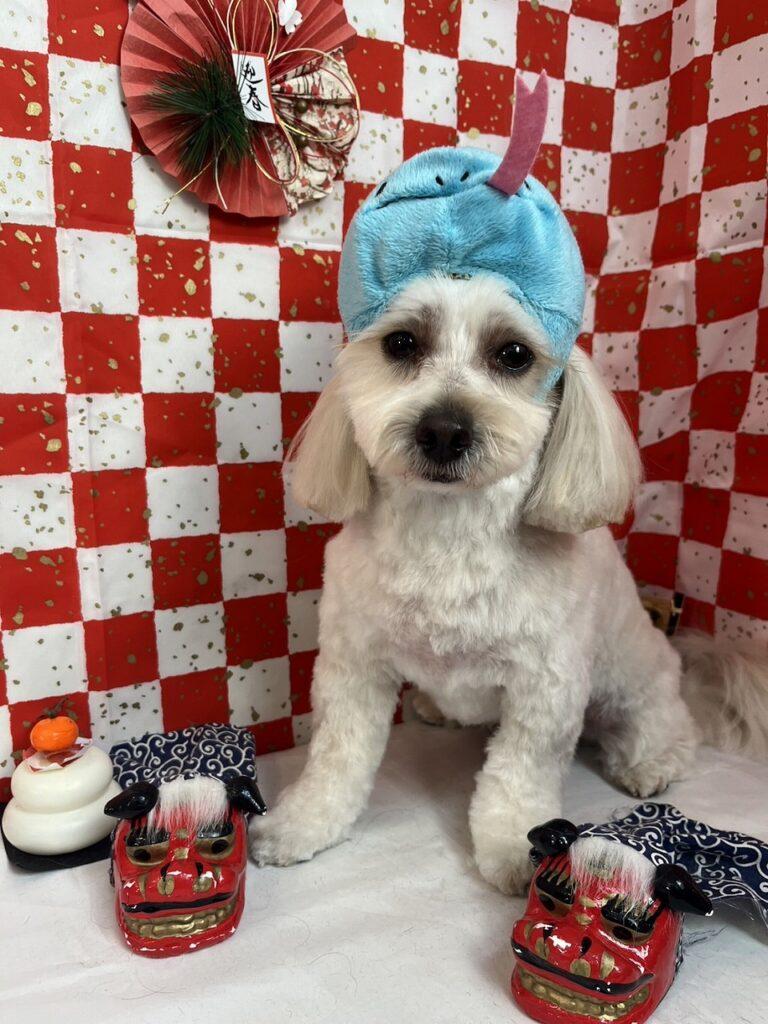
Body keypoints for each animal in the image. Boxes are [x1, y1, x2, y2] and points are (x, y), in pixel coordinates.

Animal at [249, 271, 768, 894]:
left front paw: (519, 850)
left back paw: (649, 762)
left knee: (664, 724)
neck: (448, 532)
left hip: (633, 681)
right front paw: (301, 825)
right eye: (401, 343)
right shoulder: (353, 665)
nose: (443, 430)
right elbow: (337, 757)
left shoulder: (545, 687)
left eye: (513, 354)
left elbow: (519, 775)